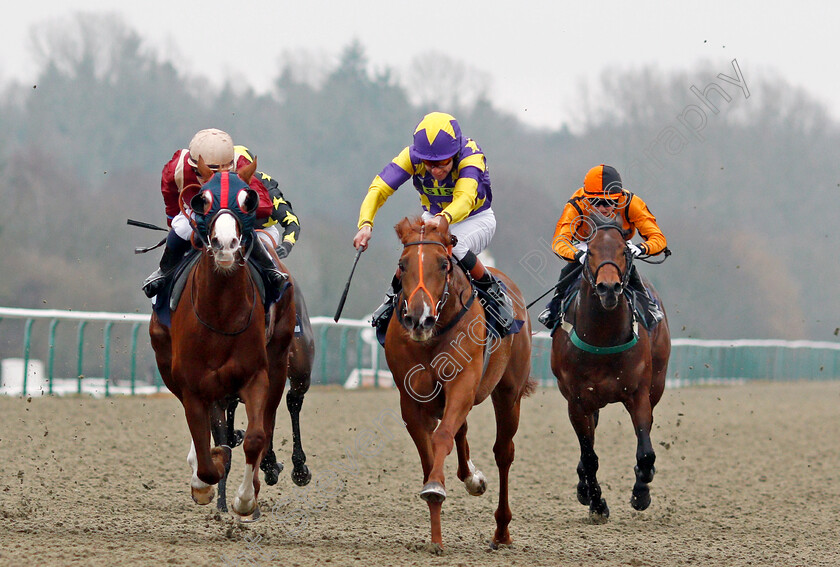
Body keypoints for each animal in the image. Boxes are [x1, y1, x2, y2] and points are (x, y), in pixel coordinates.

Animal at [149, 158, 296, 520]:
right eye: (202, 199)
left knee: (266, 423)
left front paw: (245, 499)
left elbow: (255, 437)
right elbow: (206, 454)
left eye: (248, 200)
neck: (220, 314)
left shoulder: (255, 375)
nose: (226, 243)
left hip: (278, 363)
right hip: (168, 364)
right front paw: (204, 481)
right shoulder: (192, 384)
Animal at [386, 217, 536, 552]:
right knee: (462, 430)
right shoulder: (411, 400)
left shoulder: (462, 385)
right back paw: (471, 478)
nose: (419, 319)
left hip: (508, 394)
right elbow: (428, 455)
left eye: (443, 264)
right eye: (402, 265)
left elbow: (442, 437)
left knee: (503, 452)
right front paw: (435, 533)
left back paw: (501, 531)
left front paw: (436, 488)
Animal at [552, 214, 668, 524]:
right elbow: (589, 456)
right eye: (590, 251)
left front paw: (641, 493)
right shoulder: (577, 401)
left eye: (624, 251)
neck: (603, 336)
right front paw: (597, 504)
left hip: (657, 385)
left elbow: (646, 452)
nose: (608, 288)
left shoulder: (638, 394)